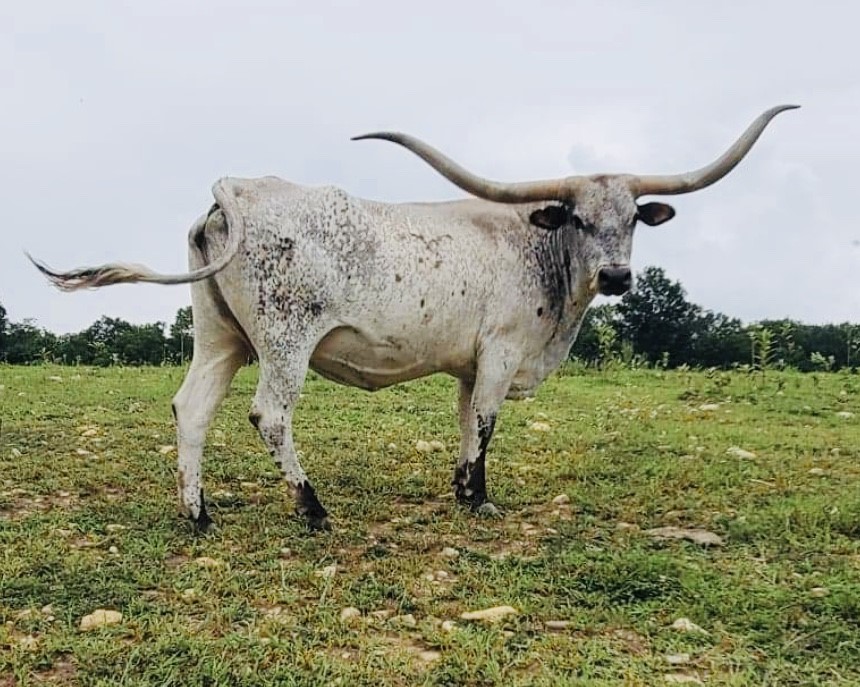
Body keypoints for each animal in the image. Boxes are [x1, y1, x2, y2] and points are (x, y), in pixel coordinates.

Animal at [30, 105, 797, 532]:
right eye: (577, 216)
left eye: (633, 216)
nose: (615, 276)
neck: (537, 249)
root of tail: (240, 190)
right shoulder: (501, 352)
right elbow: (486, 422)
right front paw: (480, 500)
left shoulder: (468, 363)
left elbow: (463, 422)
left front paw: (461, 489)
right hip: (285, 340)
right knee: (269, 415)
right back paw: (311, 509)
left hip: (220, 337)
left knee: (191, 408)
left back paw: (197, 515)